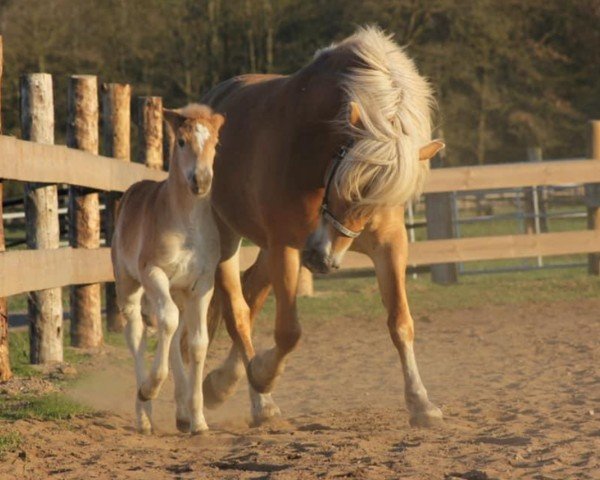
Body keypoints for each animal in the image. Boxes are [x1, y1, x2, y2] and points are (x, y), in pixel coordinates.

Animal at [111, 105, 224, 436]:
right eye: (182, 142)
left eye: (216, 144)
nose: (201, 181)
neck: (188, 224)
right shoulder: (154, 273)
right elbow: (167, 323)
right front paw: (149, 389)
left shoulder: (202, 284)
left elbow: (197, 343)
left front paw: (198, 420)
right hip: (129, 284)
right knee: (138, 332)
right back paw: (144, 412)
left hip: (178, 291)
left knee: (172, 335)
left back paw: (183, 414)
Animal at [202, 26, 446, 426]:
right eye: (344, 186)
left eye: (380, 201)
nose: (324, 261)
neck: (310, 144)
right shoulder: (286, 246)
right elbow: (289, 332)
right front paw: (263, 375)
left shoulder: (389, 245)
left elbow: (400, 322)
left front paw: (421, 403)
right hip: (226, 237)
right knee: (237, 313)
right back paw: (256, 399)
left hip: (266, 249)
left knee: (250, 299)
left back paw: (225, 385)